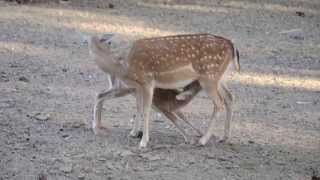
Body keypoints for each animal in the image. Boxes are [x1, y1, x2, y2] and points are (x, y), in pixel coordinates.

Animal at [89, 33, 239, 148]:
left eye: (105, 41)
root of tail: (231, 45)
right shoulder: (139, 86)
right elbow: (139, 108)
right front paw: (134, 133)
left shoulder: (147, 81)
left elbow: (146, 110)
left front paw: (143, 142)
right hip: (219, 78)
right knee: (230, 97)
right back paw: (224, 137)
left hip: (209, 77)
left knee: (219, 103)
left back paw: (203, 140)